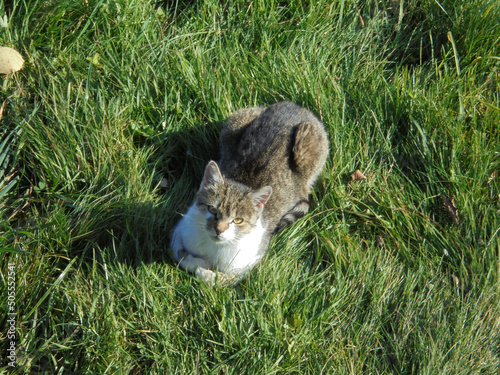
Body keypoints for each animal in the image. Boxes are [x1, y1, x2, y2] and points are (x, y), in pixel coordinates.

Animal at [170, 101, 330, 286]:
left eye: (238, 220)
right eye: (212, 210)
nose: (219, 230)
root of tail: (295, 105)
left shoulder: (253, 258)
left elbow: (222, 279)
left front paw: (207, 272)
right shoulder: (180, 230)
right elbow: (181, 256)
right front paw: (199, 262)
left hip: (307, 146)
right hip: (235, 121)